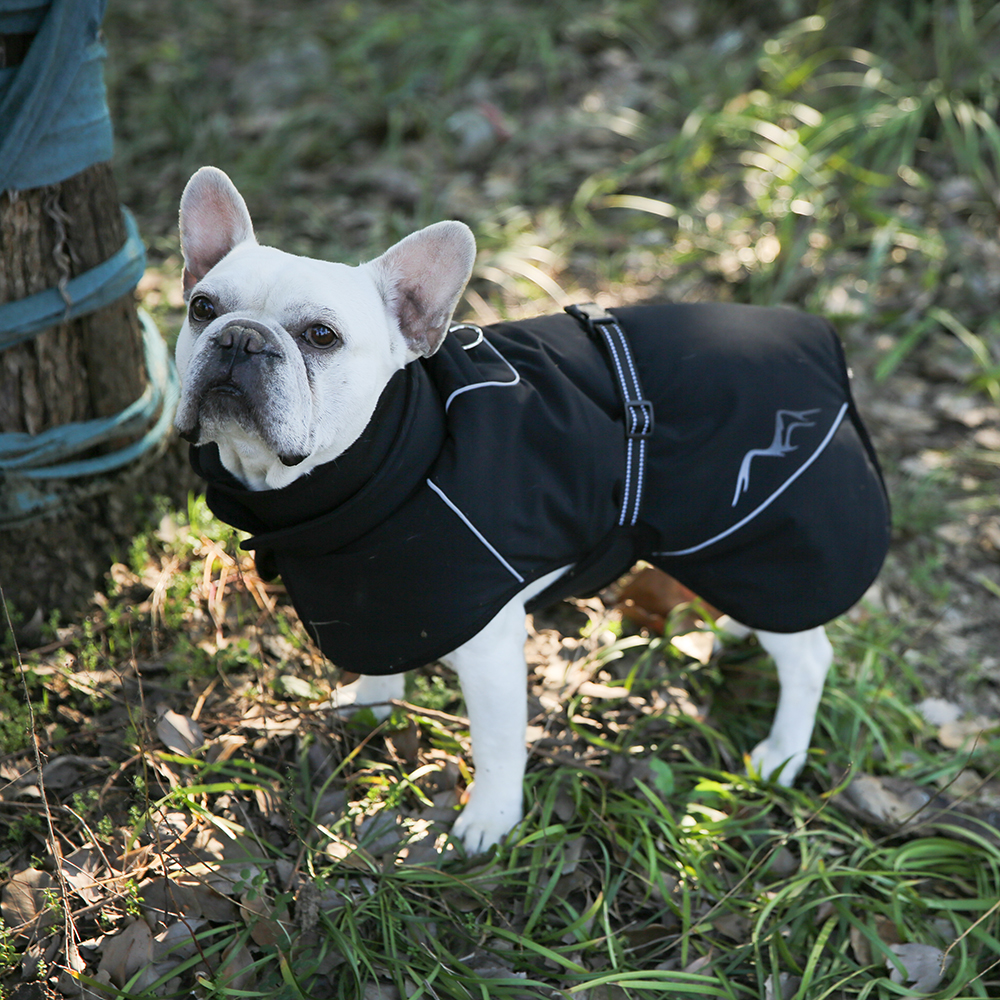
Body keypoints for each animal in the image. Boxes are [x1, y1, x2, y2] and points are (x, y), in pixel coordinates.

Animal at [174, 166, 890, 853]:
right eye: (201, 307)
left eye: (321, 336)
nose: (239, 338)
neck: (390, 459)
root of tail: (823, 346)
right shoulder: (373, 601)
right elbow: (379, 662)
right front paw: (370, 709)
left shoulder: (491, 651)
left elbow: (496, 745)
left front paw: (490, 821)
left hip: (775, 545)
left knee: (808, 657)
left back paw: (782, 754)